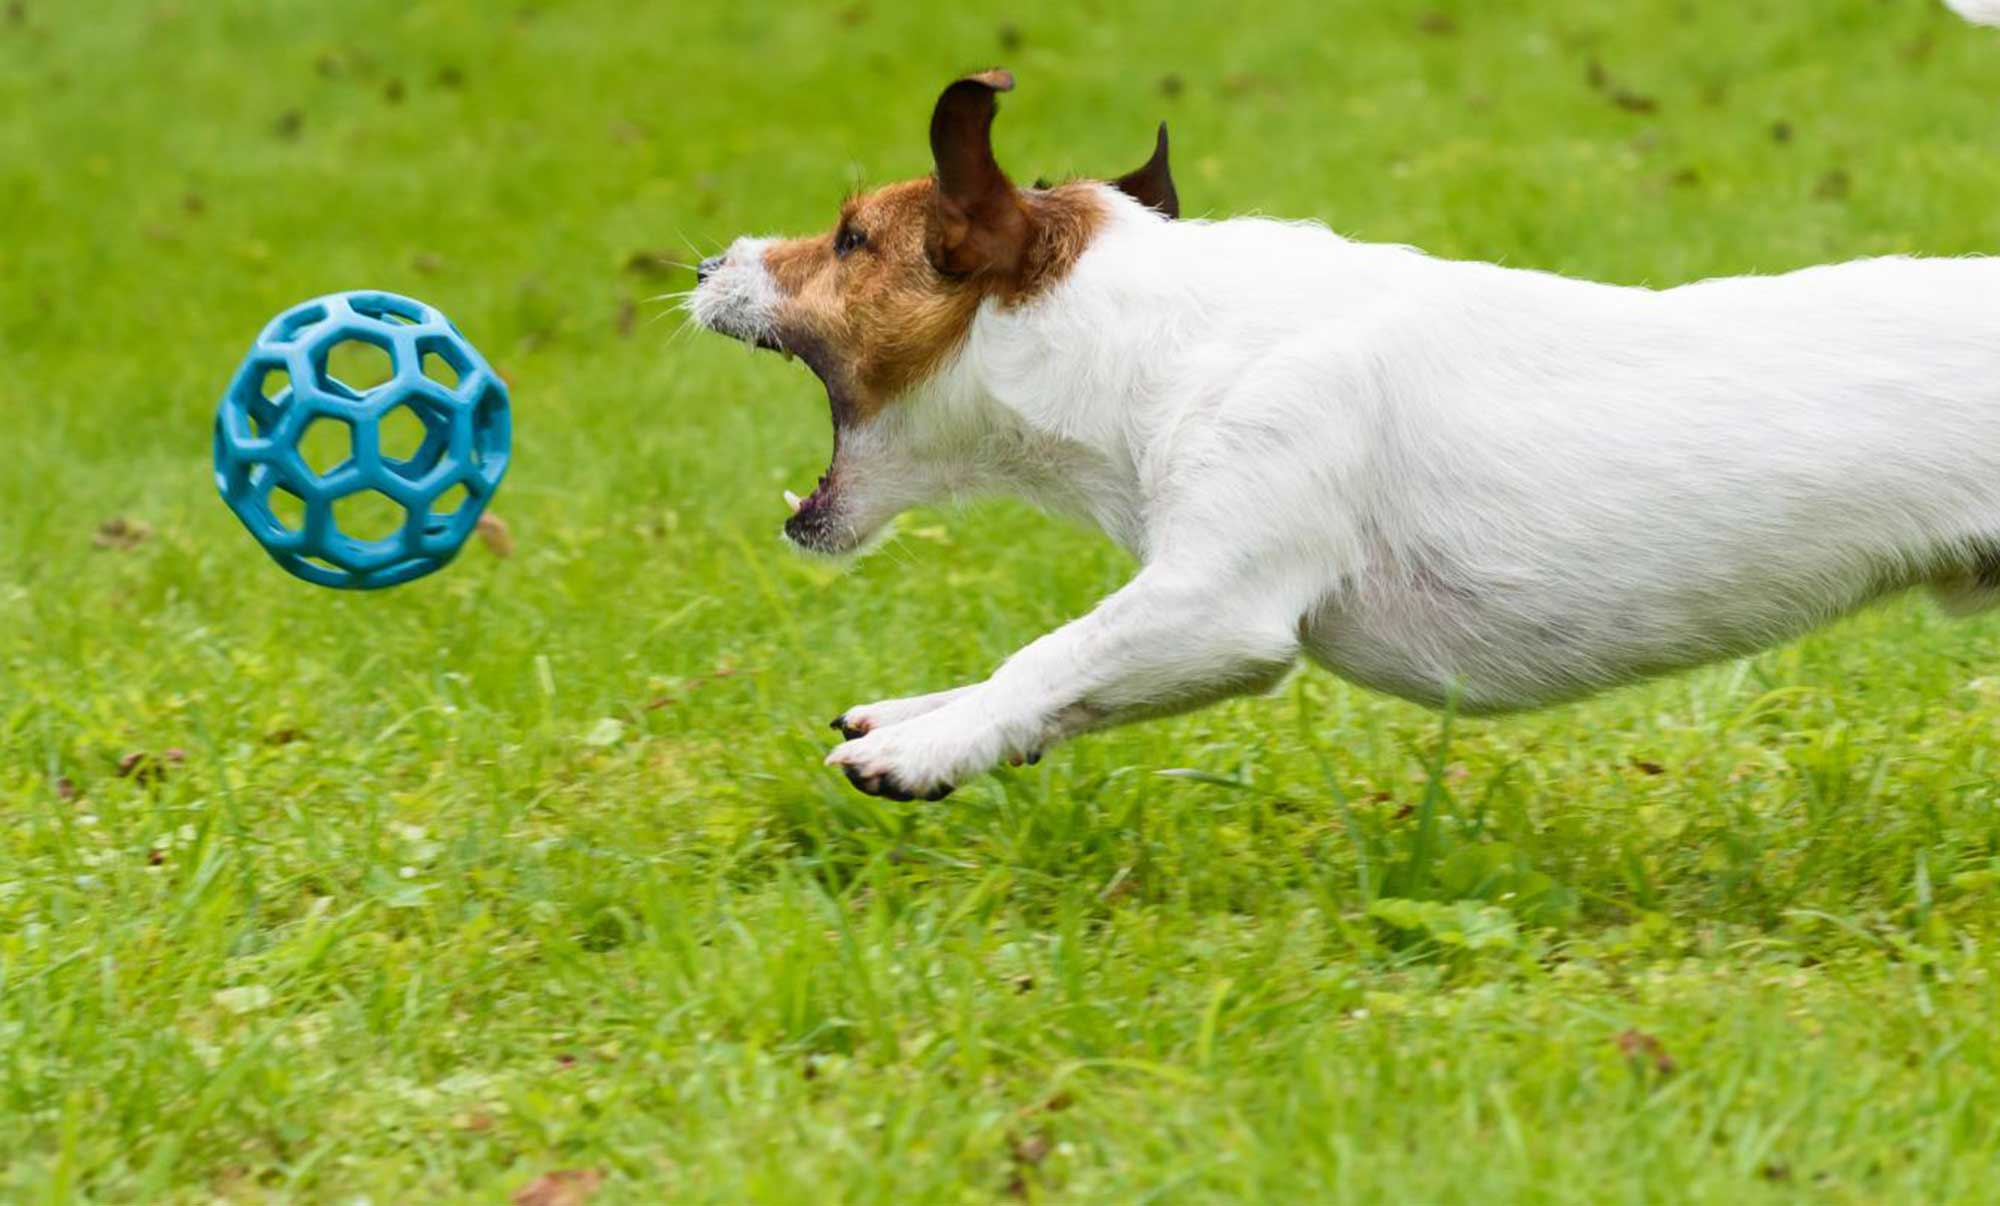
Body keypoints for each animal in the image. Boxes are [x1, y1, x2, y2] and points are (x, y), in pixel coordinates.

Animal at [692, 9, 2000, 808]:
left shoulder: (1218, 603)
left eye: (850, 239)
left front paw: (924, 747)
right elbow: (1050, 683)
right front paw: (926, 714)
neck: (1161, 341)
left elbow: (1050, 654)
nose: (707, 261)